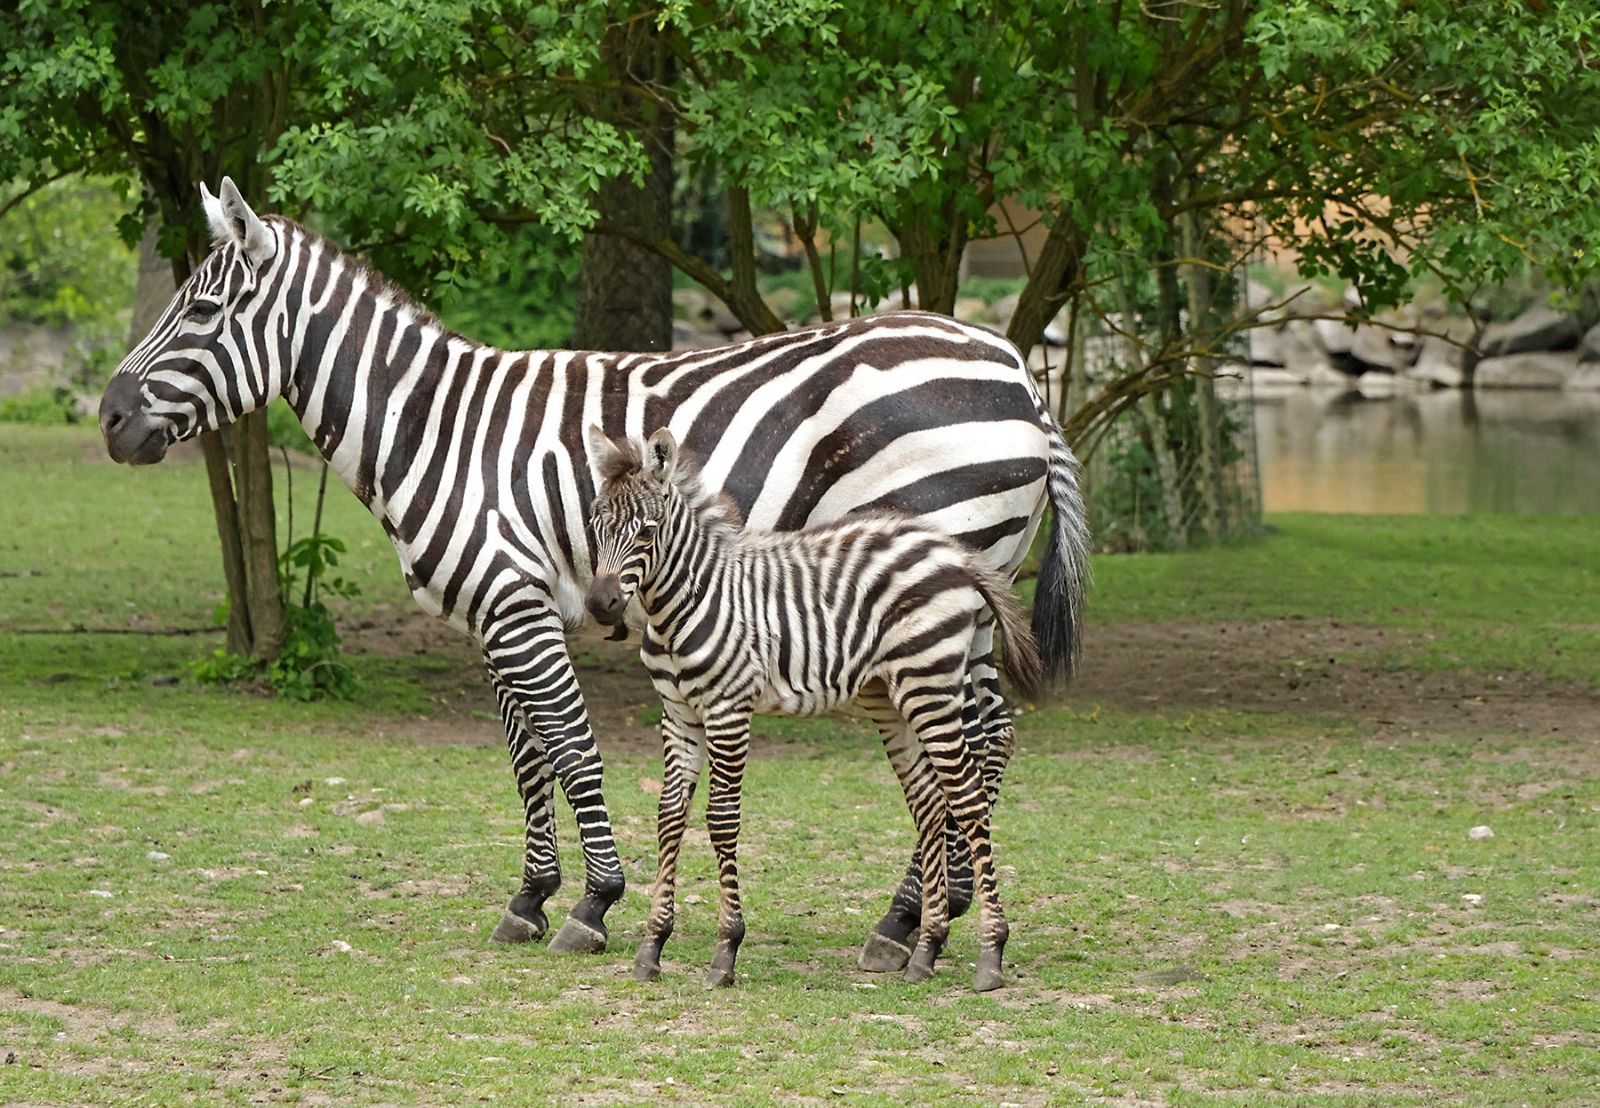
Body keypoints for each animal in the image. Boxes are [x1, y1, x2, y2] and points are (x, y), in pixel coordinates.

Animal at [585, 427, 1046, 991]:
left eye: (648, 533)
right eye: (594, 525)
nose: (600, 604)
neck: (687, 604)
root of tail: (953, 551)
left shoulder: (728, 709)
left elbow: (722, 820)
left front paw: (725, 952)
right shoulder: (678, 716)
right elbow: (670, 816)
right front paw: (652, 947)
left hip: (931, 684)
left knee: (968, 800)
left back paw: (990, 955)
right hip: (892, 695)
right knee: (930, 802)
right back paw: (926, 951)